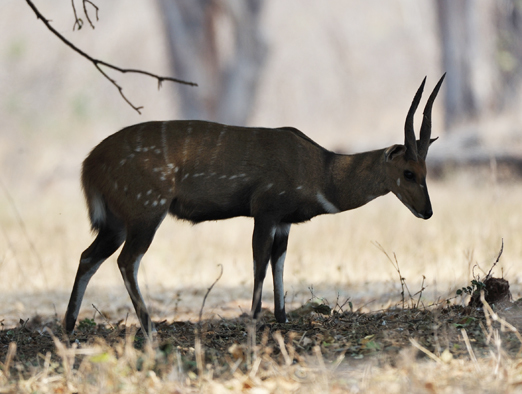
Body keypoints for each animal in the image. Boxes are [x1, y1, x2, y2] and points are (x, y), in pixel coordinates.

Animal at [62, 74, 442, 336]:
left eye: (426, 171)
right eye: (408, 172)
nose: (427, 212)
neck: (321, 172)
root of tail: (88, 164)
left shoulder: (285, 221)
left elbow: (279, 262)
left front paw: (282, 317)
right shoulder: (266, 209)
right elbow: (259, 262)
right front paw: (256, 318)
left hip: (117, 221)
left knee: (88, 256)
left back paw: (69, 326)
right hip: (147, 210)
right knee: (127, 261)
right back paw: (150, 328)